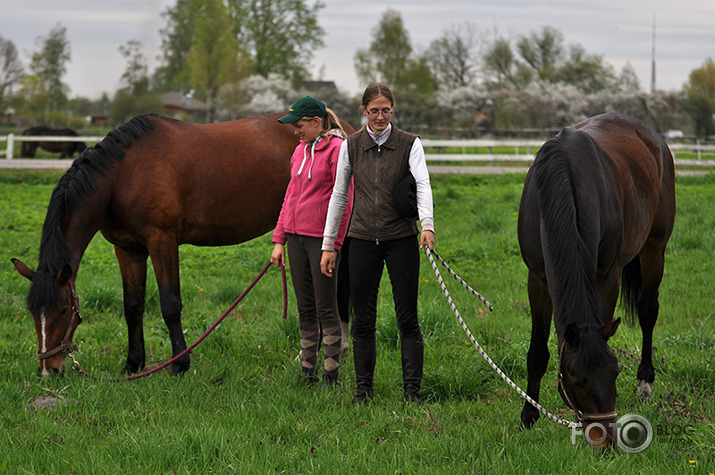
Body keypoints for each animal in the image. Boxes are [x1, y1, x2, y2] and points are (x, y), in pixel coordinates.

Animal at [11, 112, 356, 380]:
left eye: (62, 309)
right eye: (32, 311)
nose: (49, 370)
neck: (123, 175)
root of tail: (347, 130)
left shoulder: (162, 241)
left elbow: (170, 304)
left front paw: (179, 365)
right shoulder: (128, 249)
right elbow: (132, 306)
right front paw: (133, 364)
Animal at [516, 113, 676, 448]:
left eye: (614, 373)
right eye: (577, 380)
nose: (607, 440)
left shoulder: (607, 276)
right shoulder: (537, 279)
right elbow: (537, 352)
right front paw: (528, 416)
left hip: (655, 247)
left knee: (647, 311)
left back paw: (645, 381)